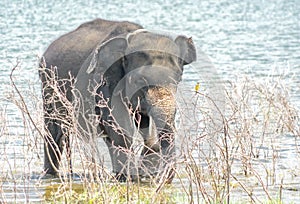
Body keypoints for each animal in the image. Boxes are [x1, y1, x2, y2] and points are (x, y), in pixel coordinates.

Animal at [38, 18, 197, 182]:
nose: (162, 179)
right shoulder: (106, 80)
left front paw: (143, 174)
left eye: (178, 80)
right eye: (139, 80)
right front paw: (131, 178)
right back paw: (50, 174)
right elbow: (118, 124)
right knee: (55, 130)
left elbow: (143, 124)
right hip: (49, 83)